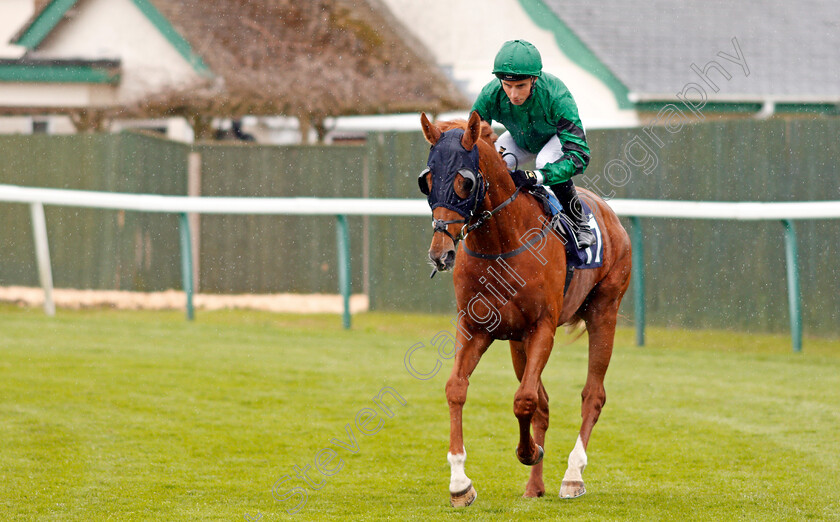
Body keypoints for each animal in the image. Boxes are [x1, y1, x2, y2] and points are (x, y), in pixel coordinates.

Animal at [420, 111, 632, 506]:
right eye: (426, 180)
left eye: (464, 181)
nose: (441, 253)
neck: (502, 242)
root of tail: (610, 213)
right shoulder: (476, 327)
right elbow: (457, 388)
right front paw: (460, 483)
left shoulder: (542, 328)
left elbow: (525, 400)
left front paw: (528, 451)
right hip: (518, 343)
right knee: (545, 404)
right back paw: (535, 486)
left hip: (604, 311)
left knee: (592, 395)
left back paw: (572, 475)